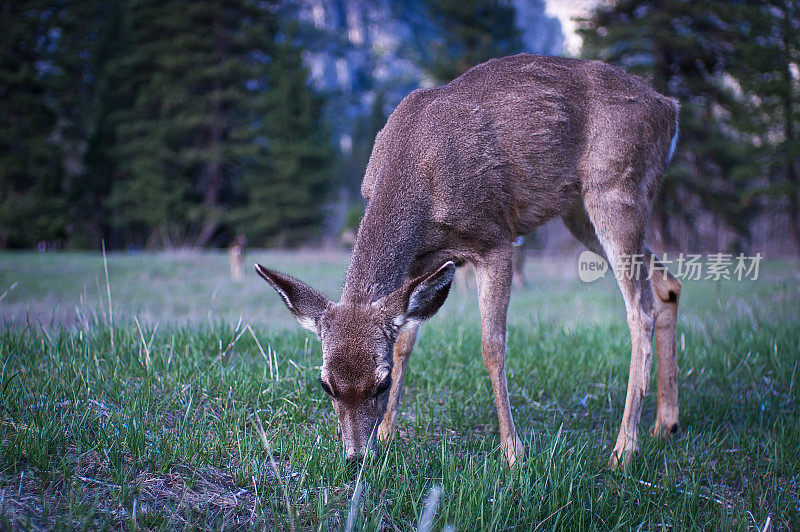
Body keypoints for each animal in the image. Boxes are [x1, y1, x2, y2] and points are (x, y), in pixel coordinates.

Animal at [255, 54, 680, 468]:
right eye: (325, 384)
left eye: (382, 382)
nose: (357, 457)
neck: (415, 169)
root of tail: (669, 108)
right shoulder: (421, 262)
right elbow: (404, 342)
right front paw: (387, 433)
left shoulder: (496, 238)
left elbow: (492, 346)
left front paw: (513, 452)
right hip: (580, 211)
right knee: (666, 284)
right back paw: (666, 423)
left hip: (617, 188)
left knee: (639, 310)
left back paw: (624, 449)